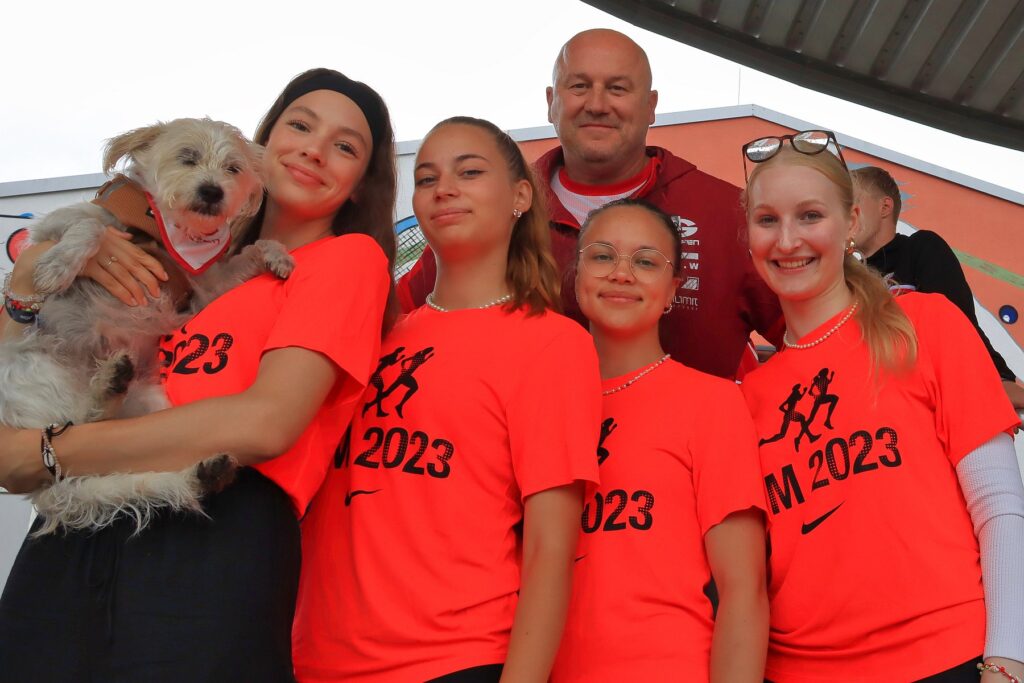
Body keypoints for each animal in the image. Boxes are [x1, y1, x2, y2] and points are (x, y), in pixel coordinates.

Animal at [0, 117, 294, 536]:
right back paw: (107, 384)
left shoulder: (205, 288)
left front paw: (276, 253)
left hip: (151, 409)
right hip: (34, 367)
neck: (161, 229)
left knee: (98, 431)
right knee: (76, 423)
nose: (212, 191)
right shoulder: (52, 226)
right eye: (187, 157)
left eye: (233, 169)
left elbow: (250, 253)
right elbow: (91, 229)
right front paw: (58, 267)